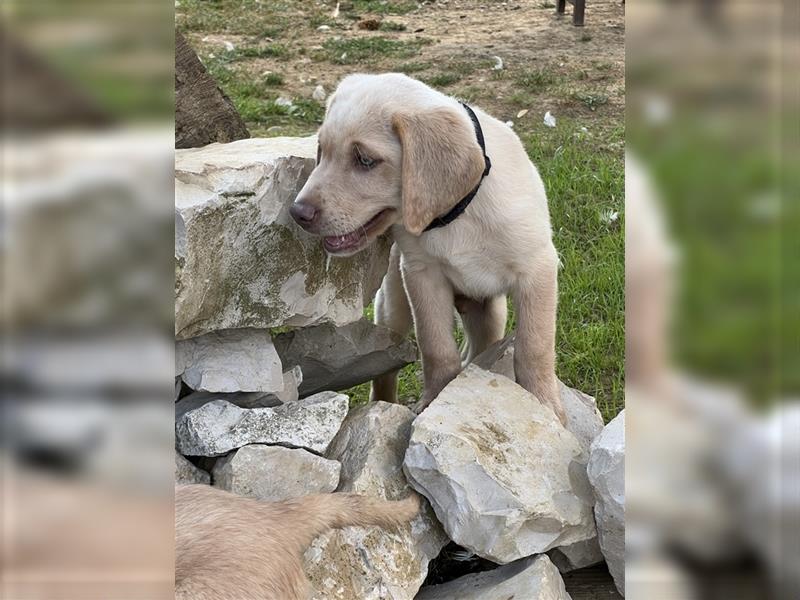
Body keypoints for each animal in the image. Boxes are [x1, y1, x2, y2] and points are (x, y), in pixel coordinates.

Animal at [290, 74, 564, 422]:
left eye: (365, 160)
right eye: (320, 150)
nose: (297, 213)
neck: (457, 216)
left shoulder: (536, 270)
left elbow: (534, 346)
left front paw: (544, 404)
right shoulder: (421, 275)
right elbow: (436, 347)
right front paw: (434, 399)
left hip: (490, 313)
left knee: (480, 349)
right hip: (392, 304)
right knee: (385, 367)